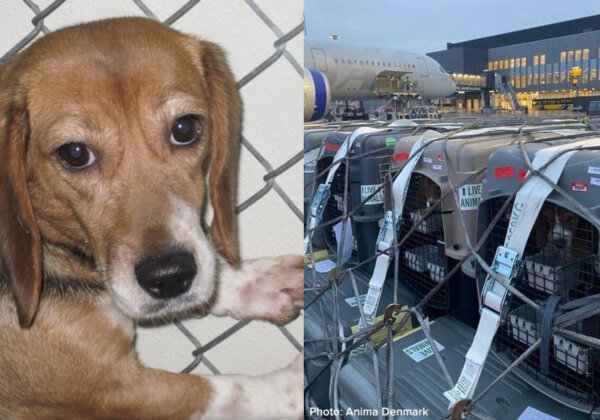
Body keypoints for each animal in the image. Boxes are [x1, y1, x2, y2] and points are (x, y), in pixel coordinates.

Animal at [0, 17, 302, 420]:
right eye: (75, 153)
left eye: (185, 128)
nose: (170, 277)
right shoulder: (112, 391)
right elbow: (231, 390)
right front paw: (297, 383)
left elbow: (213, 274)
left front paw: (264, 282)